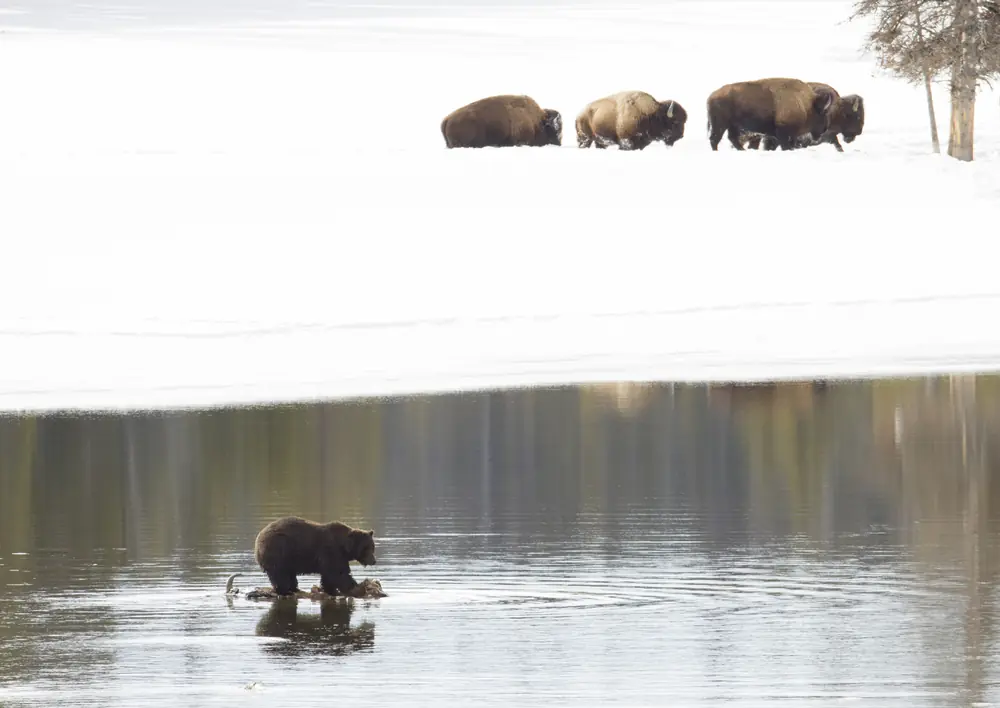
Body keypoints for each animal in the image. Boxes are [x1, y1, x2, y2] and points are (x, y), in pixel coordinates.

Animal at [706, 78, 836, 151]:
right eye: (824, 113)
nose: (825, 129)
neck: (807, 104)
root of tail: (712, 96)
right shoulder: (784, 134)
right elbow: (785, 145)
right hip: (720, 124)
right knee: (715, 139)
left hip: (733, 126)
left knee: (732, 138)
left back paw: (742, 150)